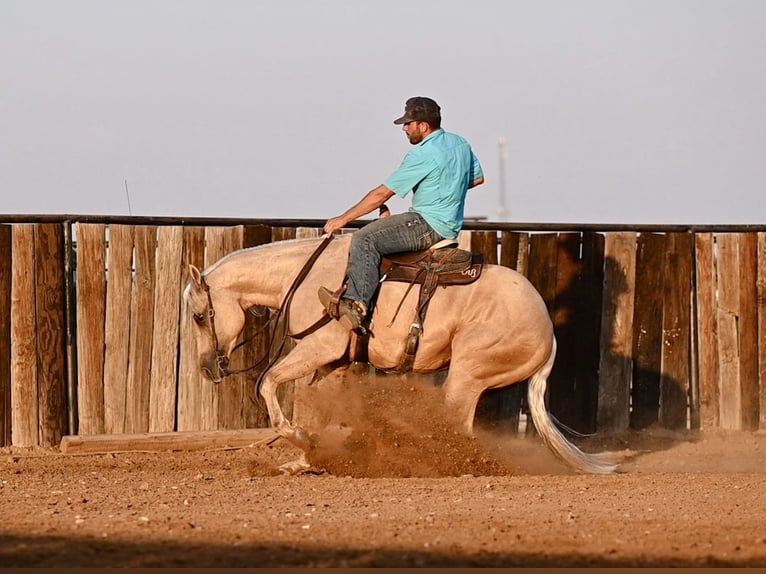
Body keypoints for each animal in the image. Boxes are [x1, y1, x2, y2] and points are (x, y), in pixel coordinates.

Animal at [183, 234, 620, 476]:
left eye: (199, 316)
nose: (206, 369)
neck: (304, 277)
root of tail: (548, 332)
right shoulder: (331, 363)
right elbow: (314, 409)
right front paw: (307, 458)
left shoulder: (318, 348)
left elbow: (268, 383)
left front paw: (299, 440)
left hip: (467, 374)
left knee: (458, 428)